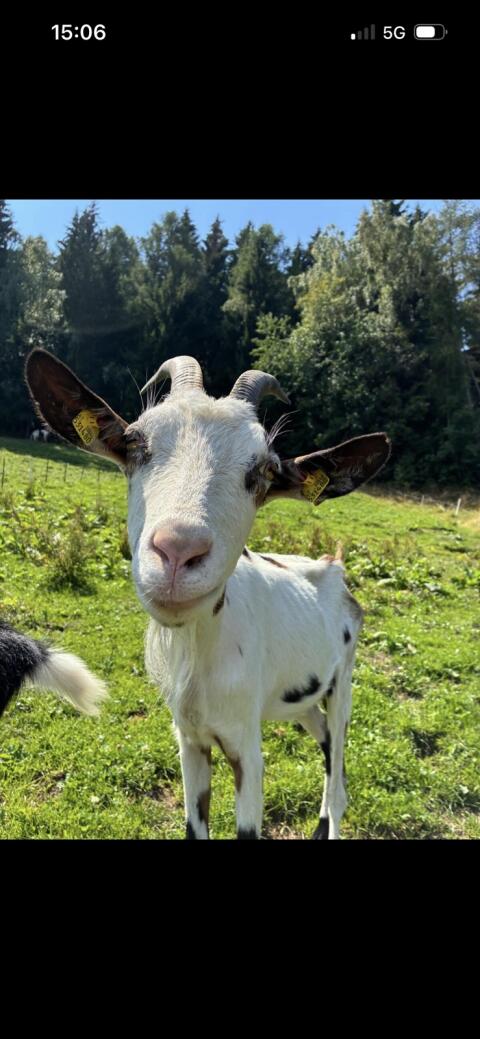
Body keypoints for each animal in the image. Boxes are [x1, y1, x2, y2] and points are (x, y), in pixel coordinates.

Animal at [25, 350, 391, 839]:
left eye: (266, 471)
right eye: (135, 443)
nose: (178, 551)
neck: (200, 659)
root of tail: (333, 567)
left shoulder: (246, 750)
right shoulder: (190, 739)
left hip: (343, 684)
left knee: (338, 782)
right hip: (301, 699)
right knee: (328, 749)